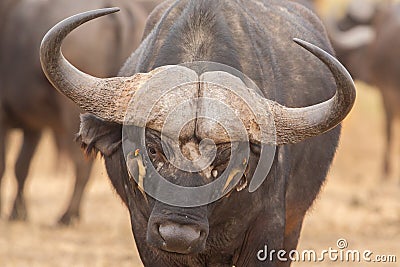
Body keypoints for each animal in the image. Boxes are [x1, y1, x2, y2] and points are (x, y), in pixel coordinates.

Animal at [0, 0, 152, 226]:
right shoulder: (33, 127)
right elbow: (21, 167)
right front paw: (18, 213)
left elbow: (6, 166)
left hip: (73, 112)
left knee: (81, 165)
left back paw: (67, 215)